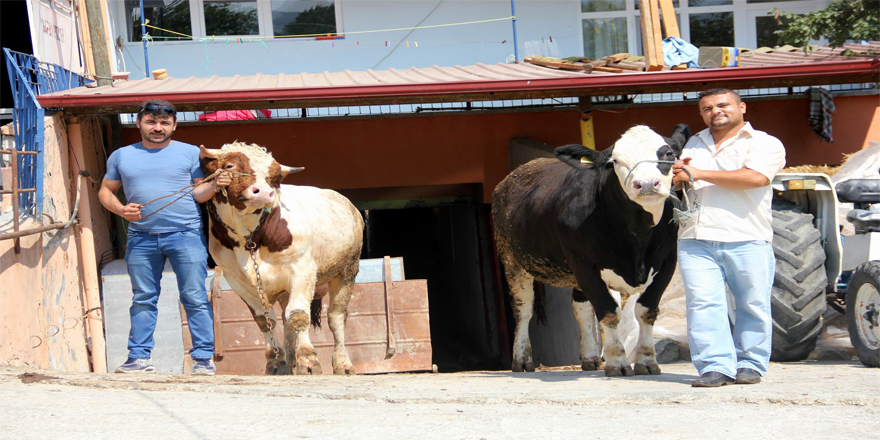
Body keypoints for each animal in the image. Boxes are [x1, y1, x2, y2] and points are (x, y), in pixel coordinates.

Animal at [200, 142, 364, 374]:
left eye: (276, 177)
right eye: (230, 165)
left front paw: (309, 361)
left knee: (336, 317)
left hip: (347, 271)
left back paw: (342, 363)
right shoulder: (237, 281)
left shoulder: (302, 270)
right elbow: (265, 320)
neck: (248, 237)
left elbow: (298, 315)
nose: (263, 192)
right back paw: (289, 361)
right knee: (287, 322)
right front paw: (276, 361)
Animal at [496, 125, 688, 376]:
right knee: (523, 308)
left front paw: (646, 361)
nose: (646, 184)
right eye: (615, 161)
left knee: (581, 306)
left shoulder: (667, 261)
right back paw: (521, 359)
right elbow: (609, 311)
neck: (637, 236)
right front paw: (618, 362)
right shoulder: (584, 263)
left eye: (668, 154)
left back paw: (590, 357)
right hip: (513, 260)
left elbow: (646, 311)